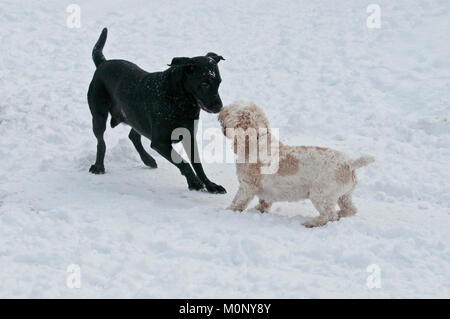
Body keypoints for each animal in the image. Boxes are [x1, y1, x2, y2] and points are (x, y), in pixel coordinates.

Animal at [88, 28, 227, 194]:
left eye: (219, 82)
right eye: (204, 83)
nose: (219, 106)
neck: (180, 101)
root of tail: (103, 63)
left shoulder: (189, 136)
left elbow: (198, 165)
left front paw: (210, 185)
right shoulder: (160, 142)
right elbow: (182, 162)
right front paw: (194, 182)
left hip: (136, 117)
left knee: (133, 135)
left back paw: (148, 160)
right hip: (99, 115)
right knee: (101, 142)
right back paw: (98, 166)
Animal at [220, 101, 374, 229]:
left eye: (230, 111)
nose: (221, 111)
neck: (256, 141)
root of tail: (350, 164)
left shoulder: (247, 186)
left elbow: (237, 202)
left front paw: (226, 211)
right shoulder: (264, 192)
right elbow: (264, 202)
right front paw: (257, 210)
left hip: (320, 194)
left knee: (329, 215)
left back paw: (311, 223)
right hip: (344, 196)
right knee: (349, 210)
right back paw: (339, 214)